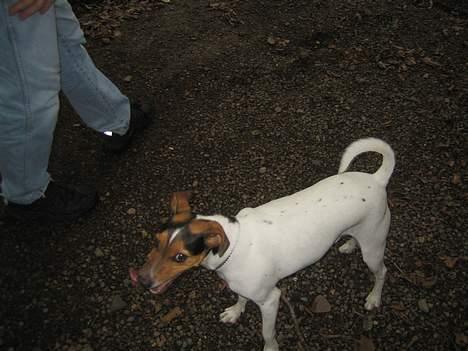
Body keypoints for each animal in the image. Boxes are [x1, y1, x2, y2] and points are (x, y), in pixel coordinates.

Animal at [131, 138, 394, 351]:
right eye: (155, 241)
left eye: (180, 257)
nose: (140, 280)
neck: (232, 246)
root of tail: (376, 179)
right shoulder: (242, 286)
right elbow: (240, 298)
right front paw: (235, 312)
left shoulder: (270, 300)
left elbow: (267, 333)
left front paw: (270, 347)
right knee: (355, 239)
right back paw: (349, 244)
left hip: (373, 248)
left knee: (382, 271)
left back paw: (374, 297)